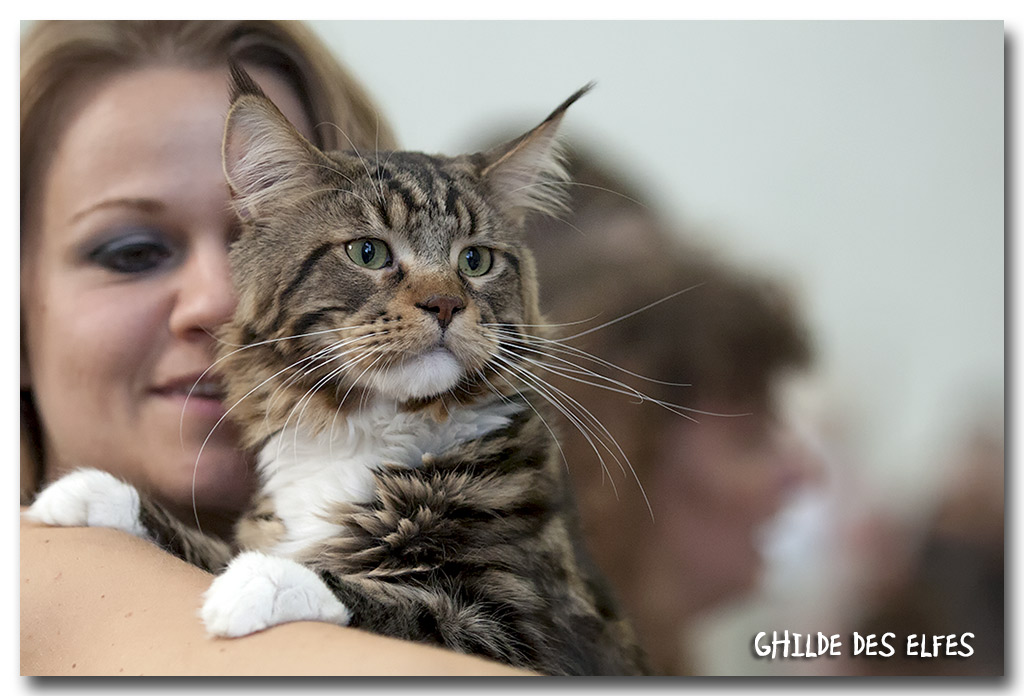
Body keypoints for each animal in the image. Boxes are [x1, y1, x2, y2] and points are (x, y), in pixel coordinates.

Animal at [28, 68, 647, 675]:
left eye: (475, 261)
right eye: (368, 252)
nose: (446, 304)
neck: (361, 434)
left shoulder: (542, 635)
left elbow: (407, 605)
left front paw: (264, 582)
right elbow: (212, 550)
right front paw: (89, 495)